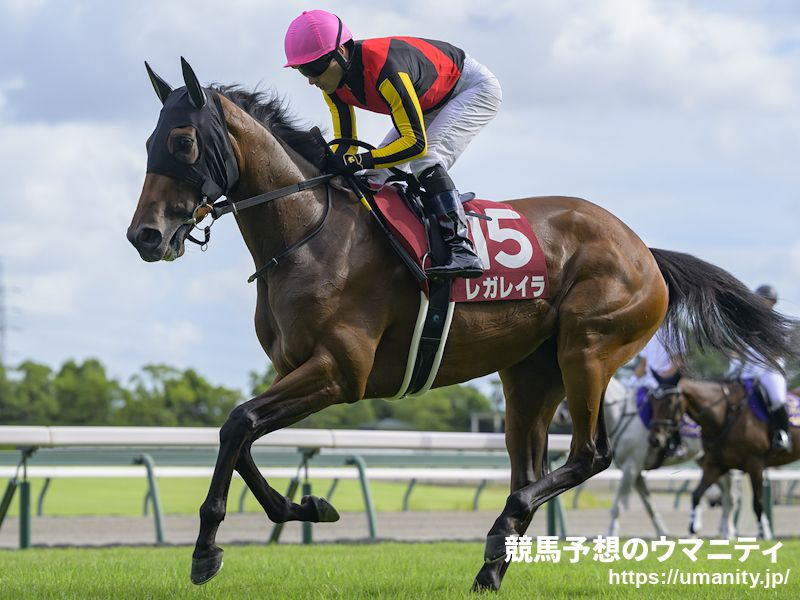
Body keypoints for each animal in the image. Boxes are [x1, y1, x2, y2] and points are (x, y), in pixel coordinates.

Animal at [649, 376, 800, 539]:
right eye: (652, 401)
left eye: (670, 402)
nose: (655, 439)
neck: (724, 416)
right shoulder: (716, 466)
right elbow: (696, 495)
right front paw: (693, 529)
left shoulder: (755, 464)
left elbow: (757, 502)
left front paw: (763, 535)